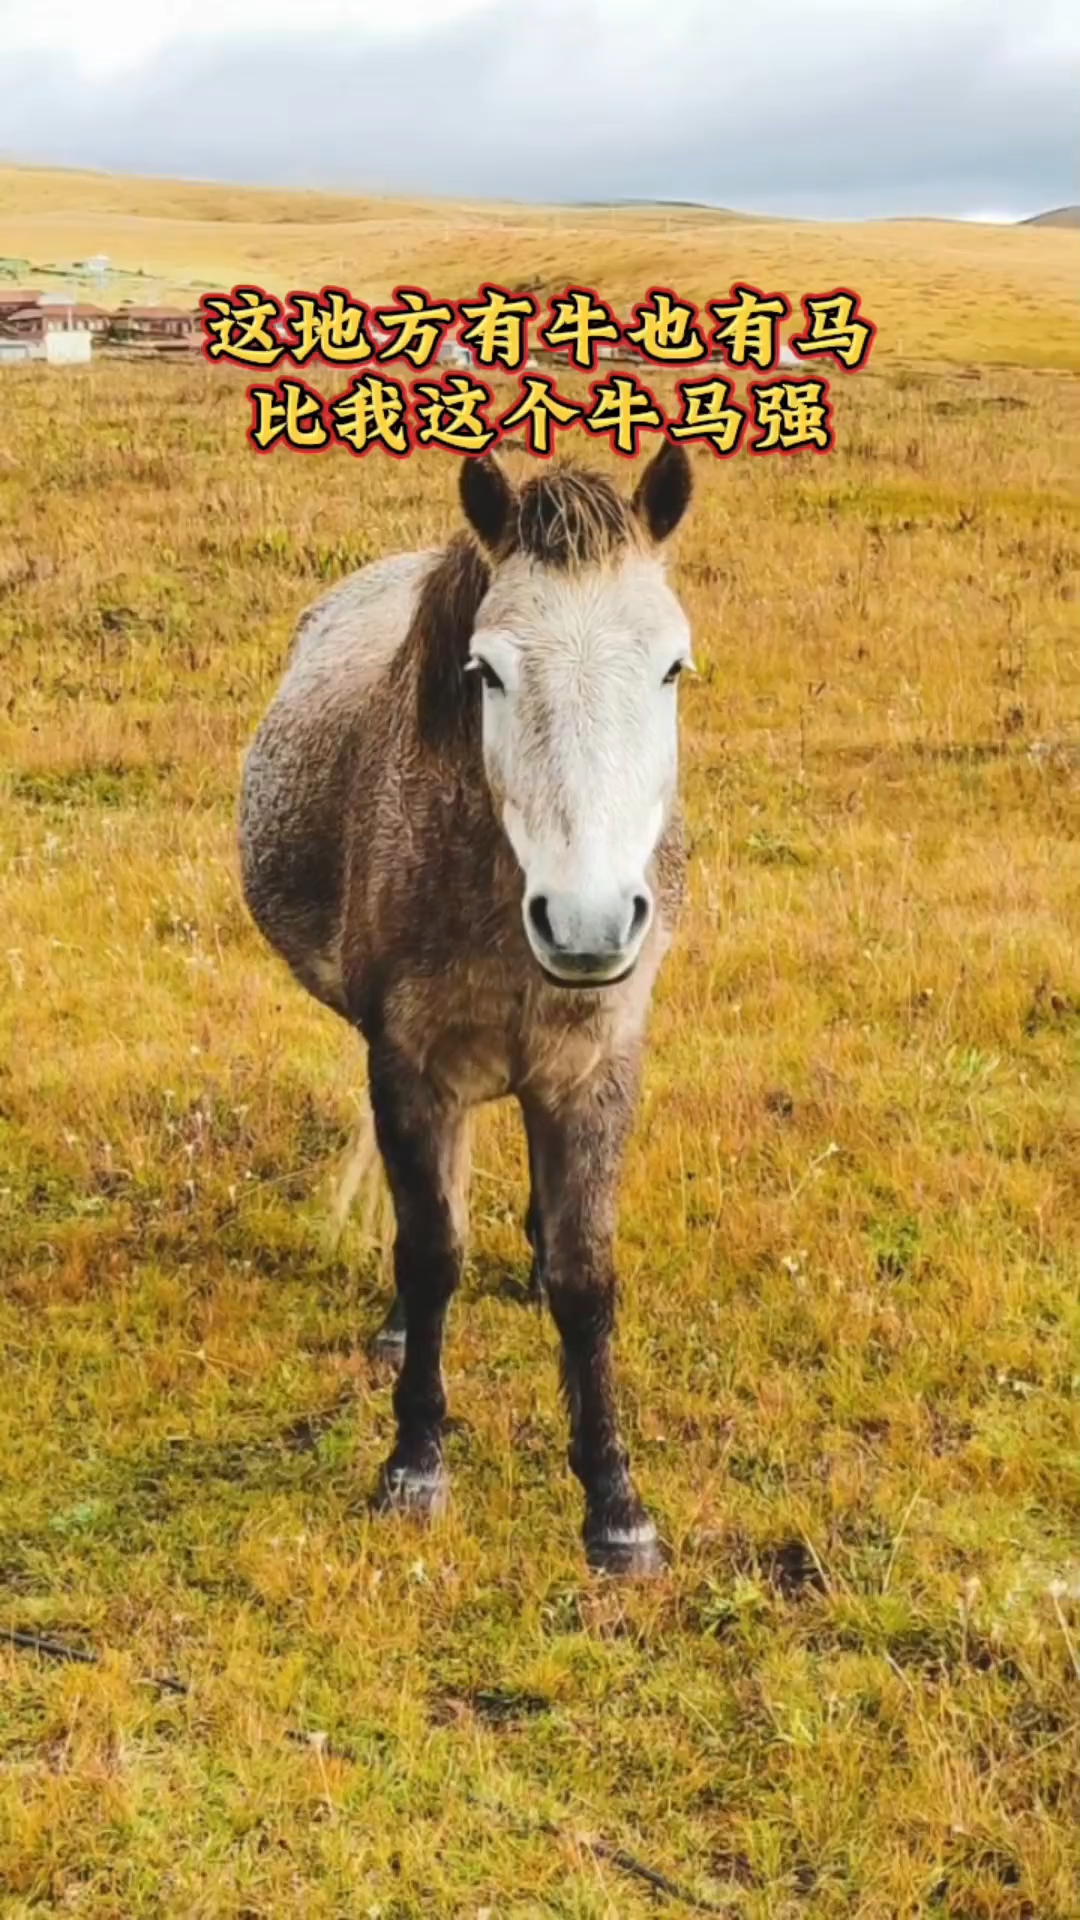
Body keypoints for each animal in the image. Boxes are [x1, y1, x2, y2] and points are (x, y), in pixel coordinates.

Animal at [239, 440, 695, 1574]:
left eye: (672, 666)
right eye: (486, 670)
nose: (587, 921)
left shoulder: (598, 1067)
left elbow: (586, 1274)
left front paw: (616, 1506)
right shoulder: (410, 1066)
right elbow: (432, 1248)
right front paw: (415, 1462)